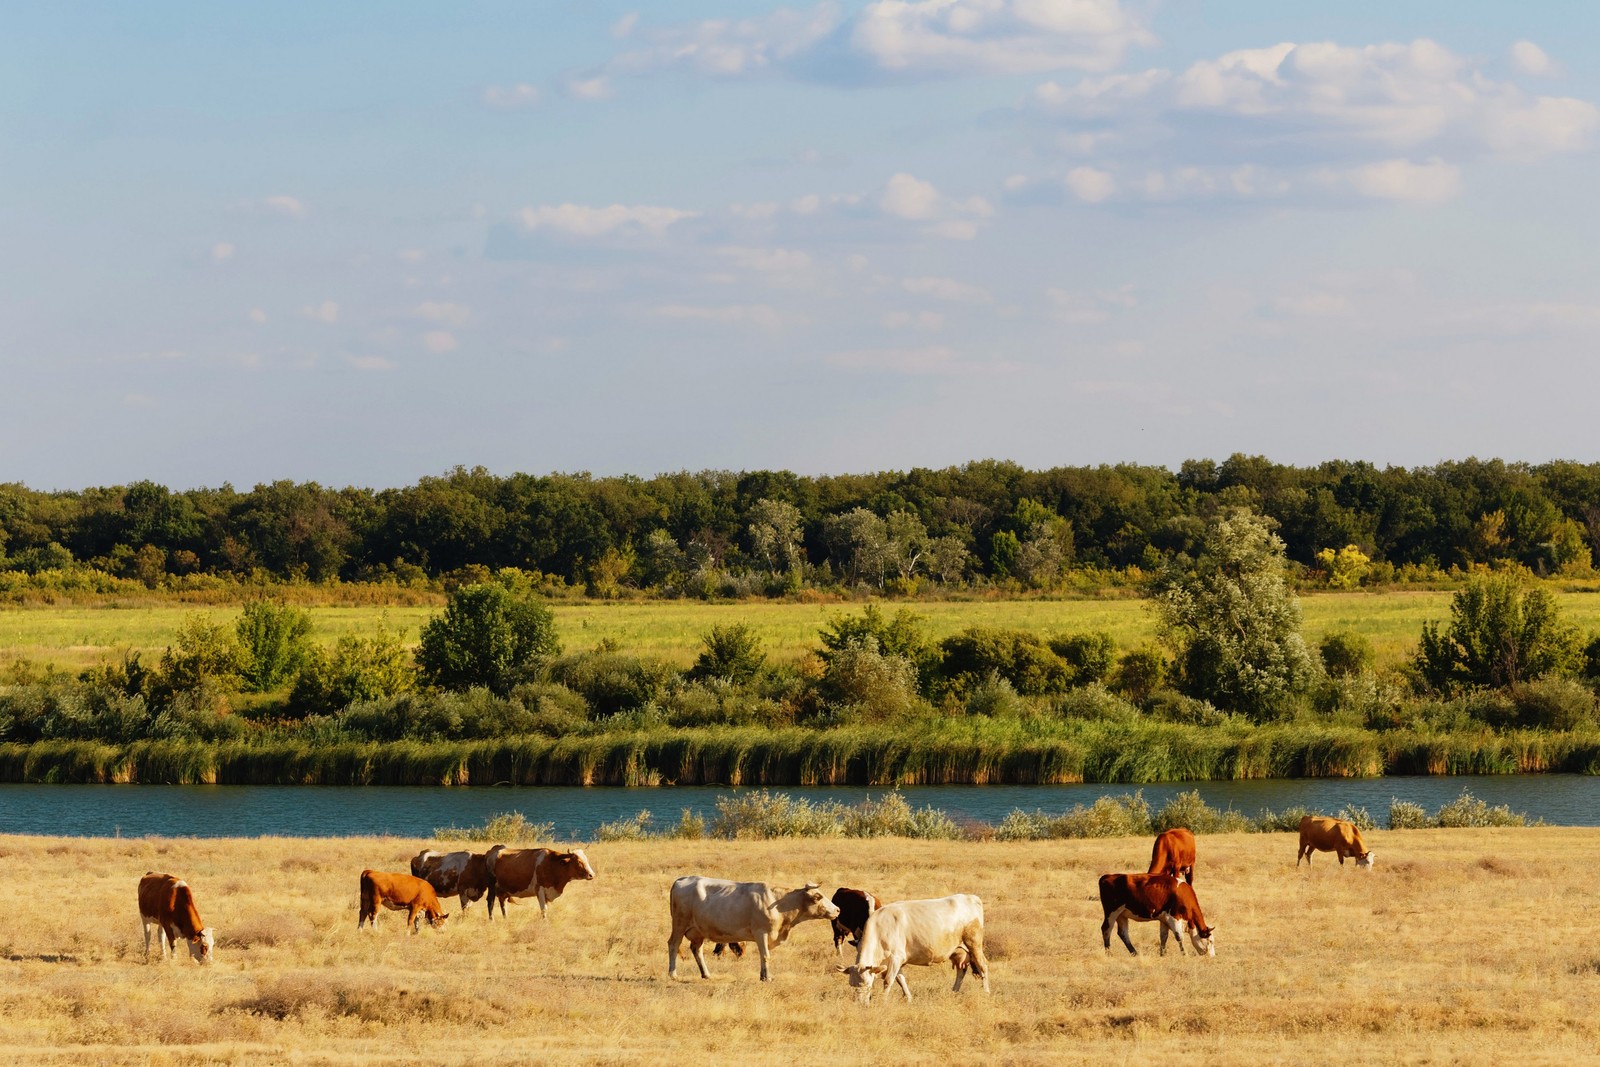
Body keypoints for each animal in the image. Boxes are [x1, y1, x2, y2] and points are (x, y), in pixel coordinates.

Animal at [665, 876, 838, 985]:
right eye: (819, 896)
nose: (838, 909)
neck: (779, 903)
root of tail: (682, 879)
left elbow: (763, 955)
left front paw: (764, 976)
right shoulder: (761, 932)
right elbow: (766, 955)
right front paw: (766, 978)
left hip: (698, 931)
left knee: (697, 950)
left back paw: (706, 974)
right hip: (679, 924)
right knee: (673, 945)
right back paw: (673, 974)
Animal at [838, 895, 985, 1004]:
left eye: (868, 984)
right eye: (852, 985)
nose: (860, 1003)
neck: (880, 930)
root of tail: (971, 898)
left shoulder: (896, 958)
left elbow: (888, 981)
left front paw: (883, 1001)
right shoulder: (897, 962)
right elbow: (901, 980)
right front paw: (909, 998)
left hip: (974, 945)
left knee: (983, 966)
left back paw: (986, 992)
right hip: (958, 951)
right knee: (961, 972)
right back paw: (954, 992)